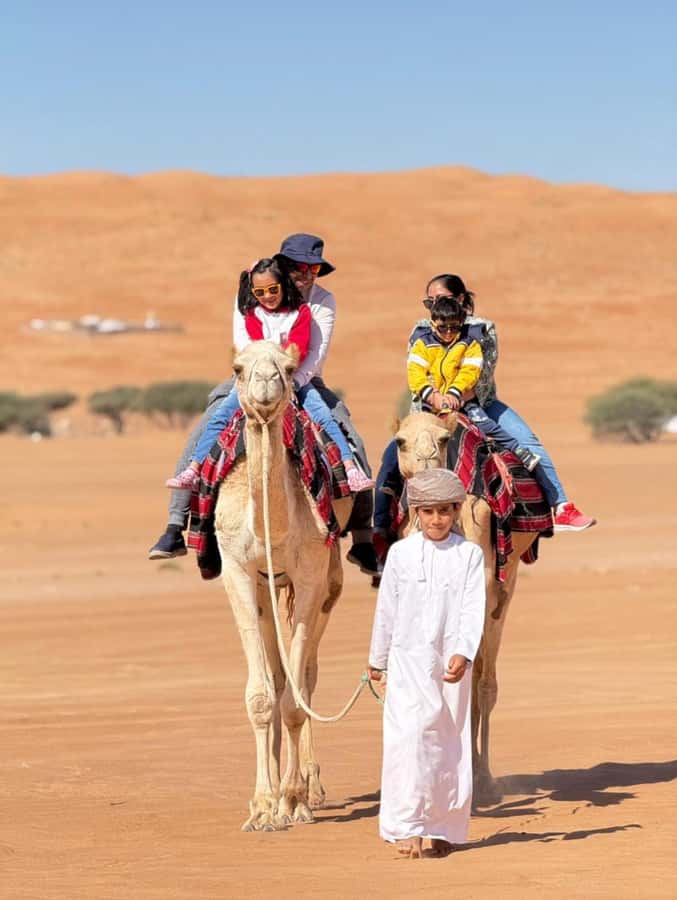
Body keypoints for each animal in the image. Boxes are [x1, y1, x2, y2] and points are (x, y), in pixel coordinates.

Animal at [213, 341, 351, 831]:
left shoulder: (311, 572)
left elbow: (294, 697)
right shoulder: (236, 568)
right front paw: (262, 806)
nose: (266, 383)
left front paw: (292, 800)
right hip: (265, 587)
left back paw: (309, 786)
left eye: (289, 368)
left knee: (305, 676)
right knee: (275, 676)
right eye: (238, 367)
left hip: (329, 581)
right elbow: (261, 696)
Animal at [394, 411, 538, 805]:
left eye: (444, 440)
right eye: (400, 442)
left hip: (505, 588)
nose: (428, 483)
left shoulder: (483, 599)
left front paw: (481, 781)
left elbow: (478, 685)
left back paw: (482, 777)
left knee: (484, 681)